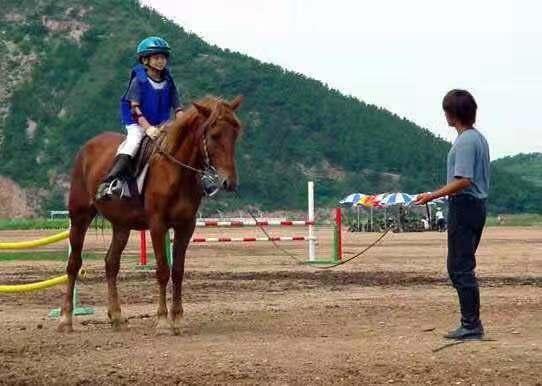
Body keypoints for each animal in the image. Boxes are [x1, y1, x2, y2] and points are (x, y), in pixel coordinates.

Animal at [58, 95, 243, 334]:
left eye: (235, 133)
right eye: (214, 135)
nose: (229, 182)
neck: (176, 171)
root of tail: (87, 147)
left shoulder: (186, 226)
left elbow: (178, 271)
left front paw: (178, 318)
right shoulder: (157, 225)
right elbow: (163, 270)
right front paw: (163, 320)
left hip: (121, 225)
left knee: (111, 263)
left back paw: (116, 316)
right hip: (79, 217)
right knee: (73, 264)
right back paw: (65, 319)